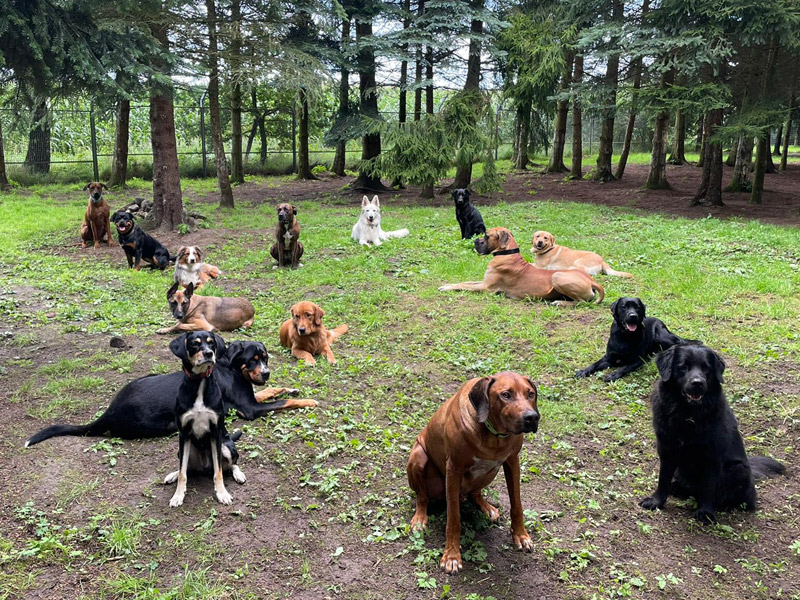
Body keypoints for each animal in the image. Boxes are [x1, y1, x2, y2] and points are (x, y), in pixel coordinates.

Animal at [25, 338, 314, 446]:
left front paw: (289, 386)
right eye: (252, 359)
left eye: (265, 358)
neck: (230, 367)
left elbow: (274, 392)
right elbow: (283, 402)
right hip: (165, 424)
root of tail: (108, 412)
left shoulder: (251, 398)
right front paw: (309, 401)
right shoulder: (250, 409)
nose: (265, 373)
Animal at [410, 372, 540, 576]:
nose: (532, 417)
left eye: (531, 394)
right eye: (506, 395)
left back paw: (486, 507)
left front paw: (520, 535)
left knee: (475, 492)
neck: (493, 435)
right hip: (418, 456)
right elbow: (453, 519)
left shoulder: (512, 462)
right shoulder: (453, 469)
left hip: (490, 472)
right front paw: (452, 556)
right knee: (422, 497)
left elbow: (517, 504)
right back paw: (420, 518)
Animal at [640, 344, 784, 524]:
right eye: (683, 367)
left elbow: (708, 488)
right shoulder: (667, 450)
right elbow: (663, 479)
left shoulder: (712, 457)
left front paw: (706, 513)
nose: (698, 383)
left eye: (706, 369)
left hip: (738, 469)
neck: (688, 415)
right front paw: (656, 501)